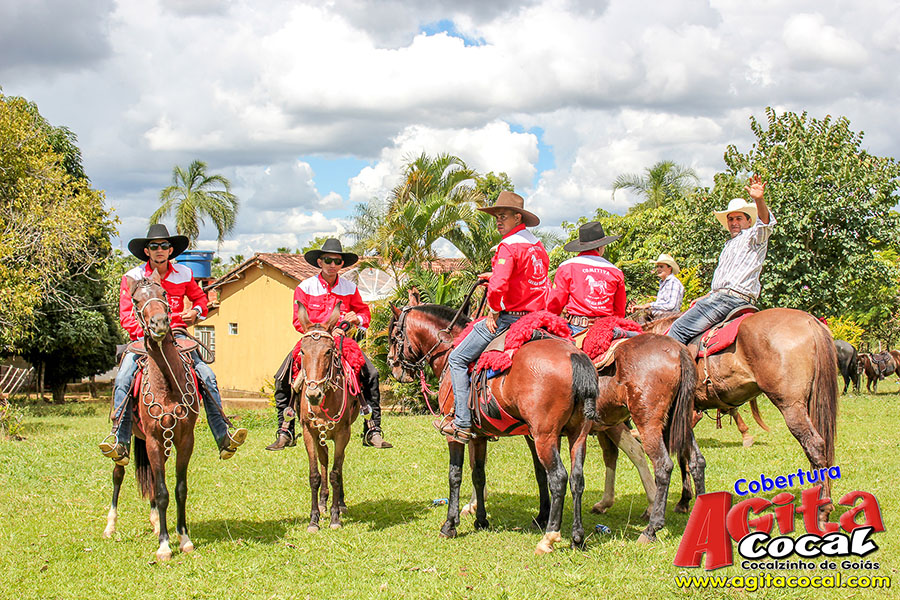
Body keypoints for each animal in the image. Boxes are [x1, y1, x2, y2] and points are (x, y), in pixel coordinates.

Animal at [102, 273, 201, 561]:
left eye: (164, 294)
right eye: (136, 301)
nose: (159, 323)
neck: (166, 384)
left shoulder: (184, 440)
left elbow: (178, 489)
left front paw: (184, 538)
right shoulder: (154, 440)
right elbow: (161, 490)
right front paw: (164, 545)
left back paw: (156, 521)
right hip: (127, 442)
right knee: (118, 474)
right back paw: (110, 526)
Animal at [293, 304, 360, 532]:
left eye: (329, 351)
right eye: (303, 352)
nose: (313, 394)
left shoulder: (342, 433)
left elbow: (336, 474)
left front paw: (335, 516)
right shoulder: (309, 432)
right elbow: (315, 475)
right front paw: (314, 519)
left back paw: (340, 502)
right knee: (324, 460)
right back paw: (323, 501)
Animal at [643, 308, 839, 522]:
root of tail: (810, 322)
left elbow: (679, 457)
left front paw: (678, 502)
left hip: (791, 406)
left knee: (814, 445)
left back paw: (822, 510)